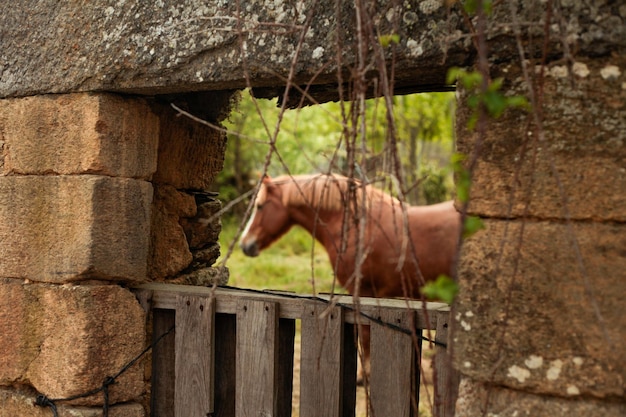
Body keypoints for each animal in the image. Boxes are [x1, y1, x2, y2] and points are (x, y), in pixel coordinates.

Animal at [239, 172, 458, 376]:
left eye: (260, 206)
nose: (245, 244)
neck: (353, 224)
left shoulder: (362, 292)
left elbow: (365, 335)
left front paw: (365, 373)